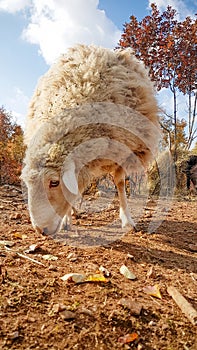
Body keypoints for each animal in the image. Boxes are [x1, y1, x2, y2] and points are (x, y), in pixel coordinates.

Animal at [21, 43, 160, 235]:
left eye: (54, 182)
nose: (40, 230)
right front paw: (67, 219)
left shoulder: (123, 151)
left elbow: (120, 183)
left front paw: (127, 220)